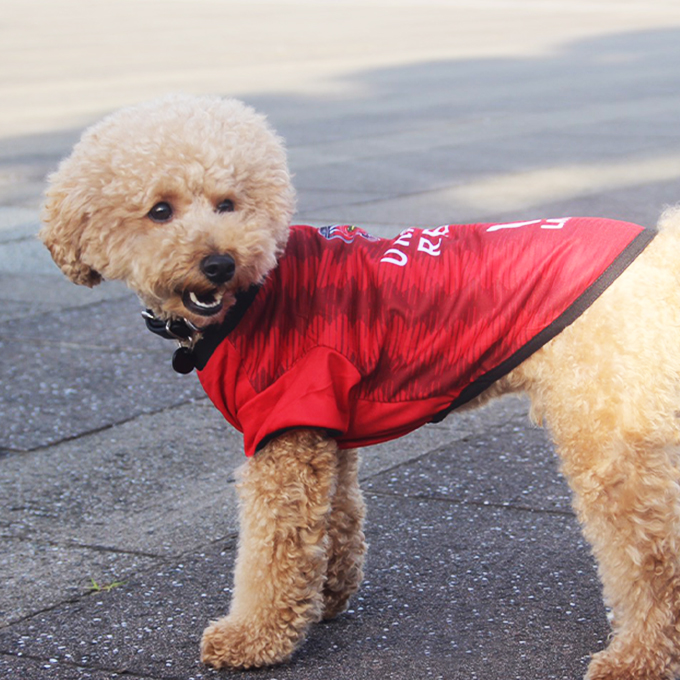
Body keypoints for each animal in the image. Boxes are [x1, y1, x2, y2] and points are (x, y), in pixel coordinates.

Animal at [39, 94, 680, 679]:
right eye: (160, 211)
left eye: (227, 203)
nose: (219, 262)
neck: (255, 296)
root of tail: (660, 255)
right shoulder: (322, 431)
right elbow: (335, 521)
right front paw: (324, 599)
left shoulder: (283, 431)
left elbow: (272, 552)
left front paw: (255, 638)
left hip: (610, 437)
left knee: (653, 559)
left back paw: (637, 659)